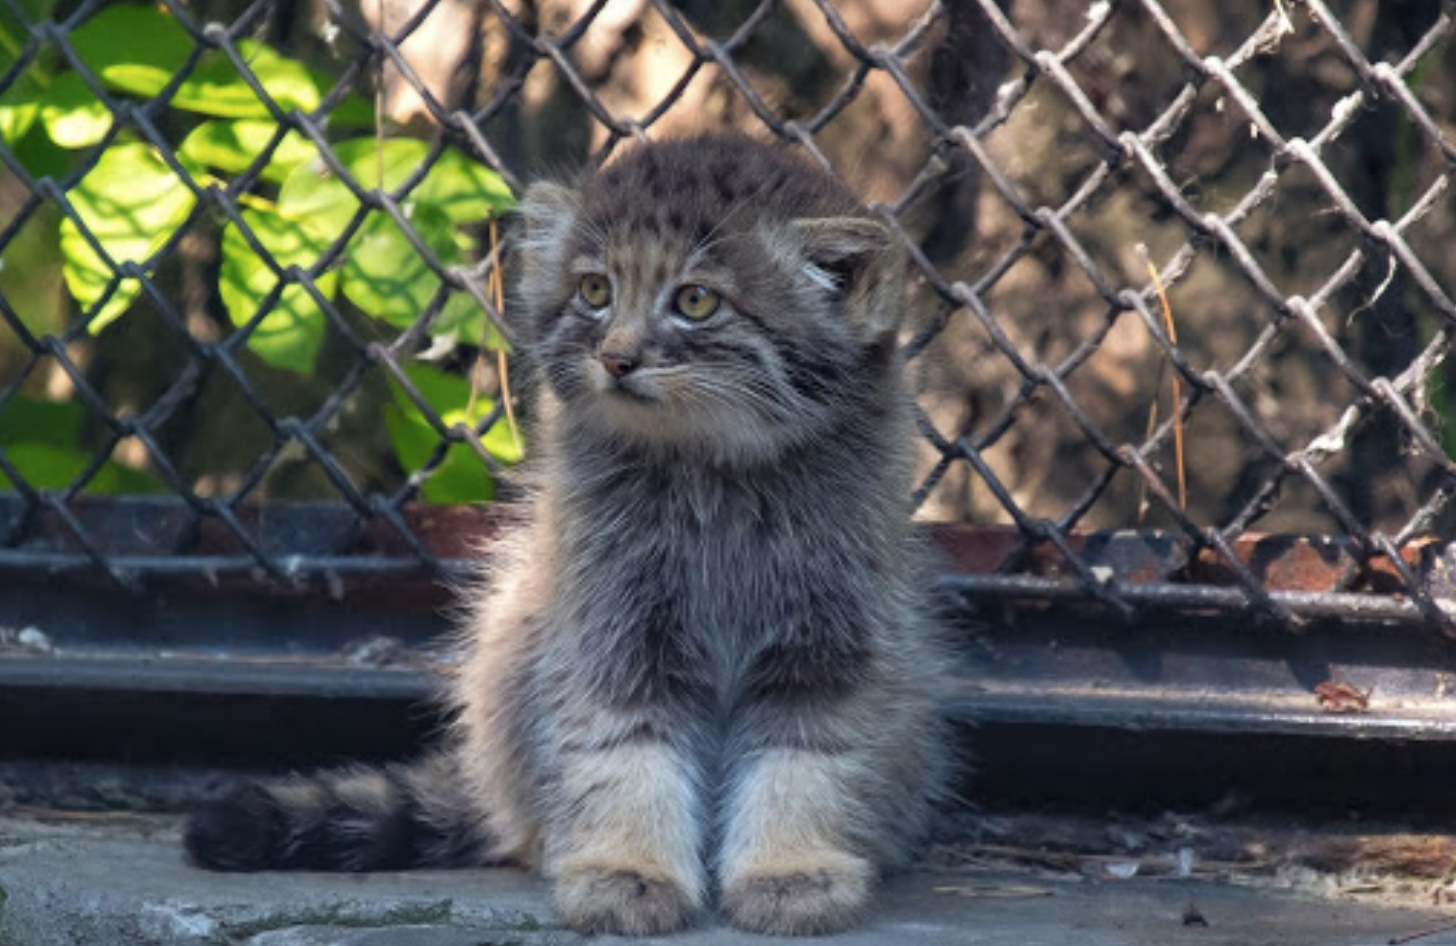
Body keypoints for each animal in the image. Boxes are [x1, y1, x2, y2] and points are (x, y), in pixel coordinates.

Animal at [184, 134, 955, 937]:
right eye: (594, 291)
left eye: (696, 300)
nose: (616, 356)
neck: (712, 475)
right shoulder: (612, 634)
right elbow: (626, 757)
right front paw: (629, 867)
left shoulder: (829, 640)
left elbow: (804, 764)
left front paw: (789, 869)